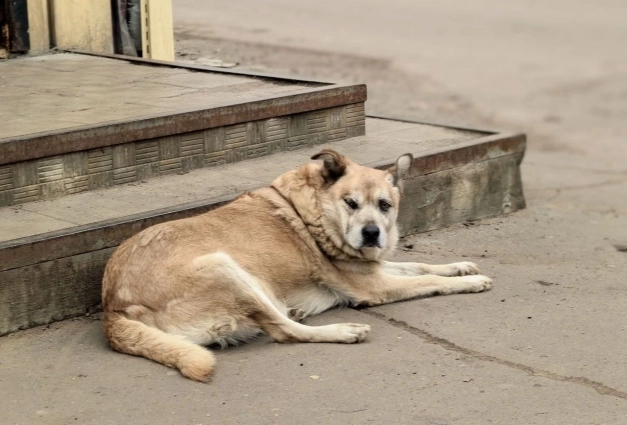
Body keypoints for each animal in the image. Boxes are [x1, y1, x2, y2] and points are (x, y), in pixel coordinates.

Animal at [103, 150, 494, 380]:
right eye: (351, 203)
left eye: (385, 205)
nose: (371, 234)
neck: (313, 211)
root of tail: (112, 309)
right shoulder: (374, 286)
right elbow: (426, 280)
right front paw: (468, 283)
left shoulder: (375, 269)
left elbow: (420, 266)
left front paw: (460, 266)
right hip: (225, 268)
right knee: (285, 331)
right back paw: (342, 330)